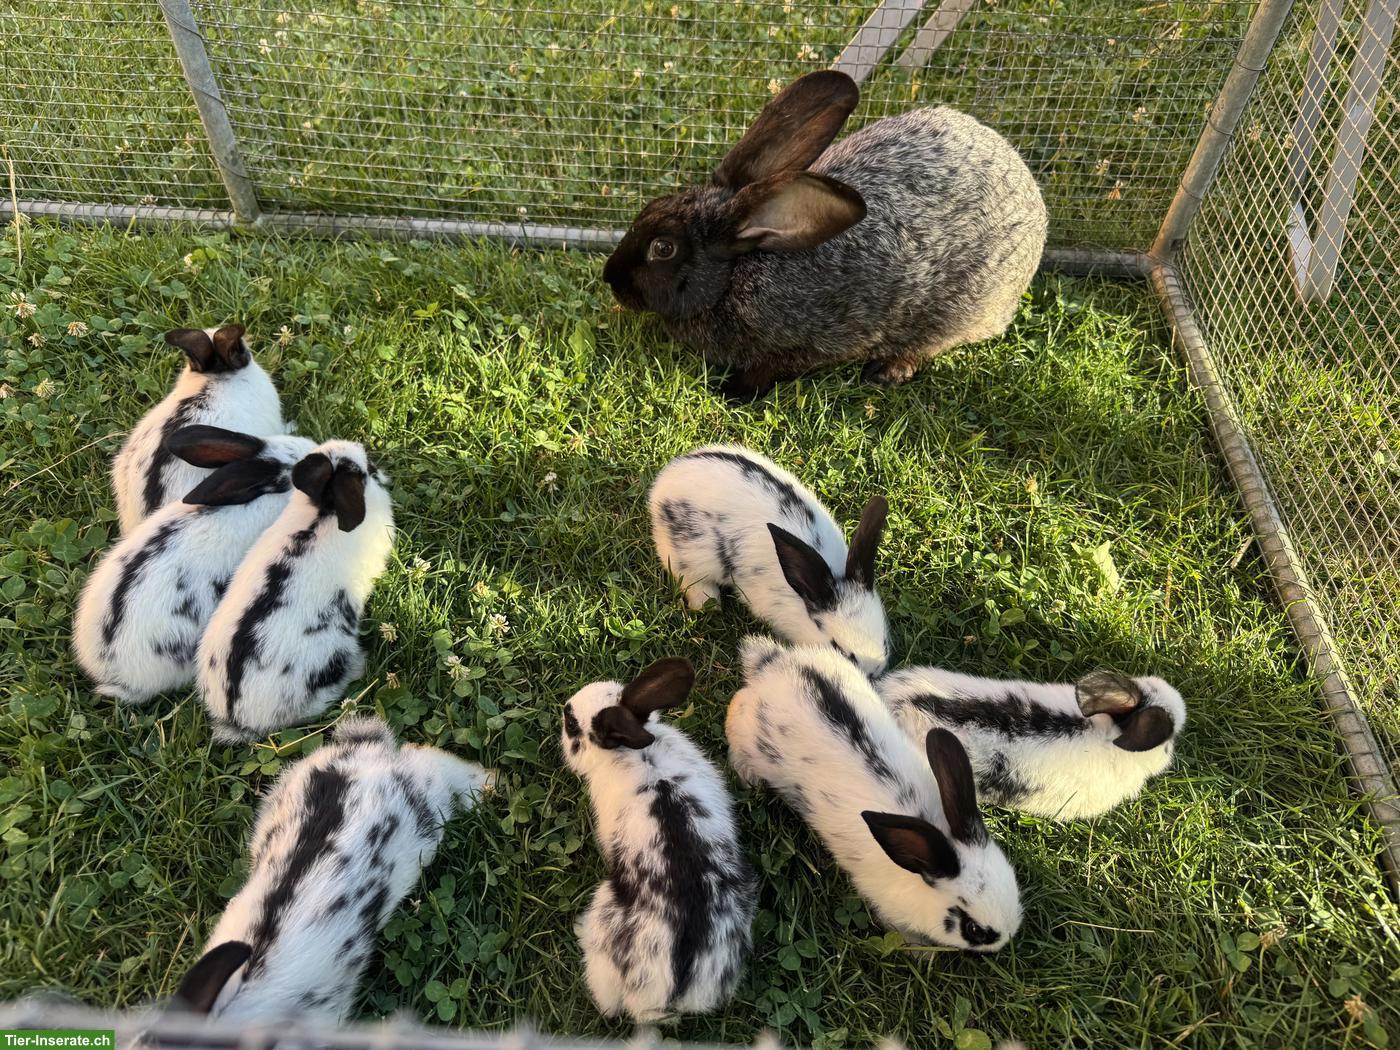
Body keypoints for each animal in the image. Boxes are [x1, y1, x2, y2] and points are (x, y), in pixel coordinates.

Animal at [602, 70, 1047, 399]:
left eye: (663, 248)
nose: (611, 279)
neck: (737, 274)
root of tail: (1035, 206)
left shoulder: (815, 343)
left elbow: (774, 368)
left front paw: (733, 391)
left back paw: (888, 371)